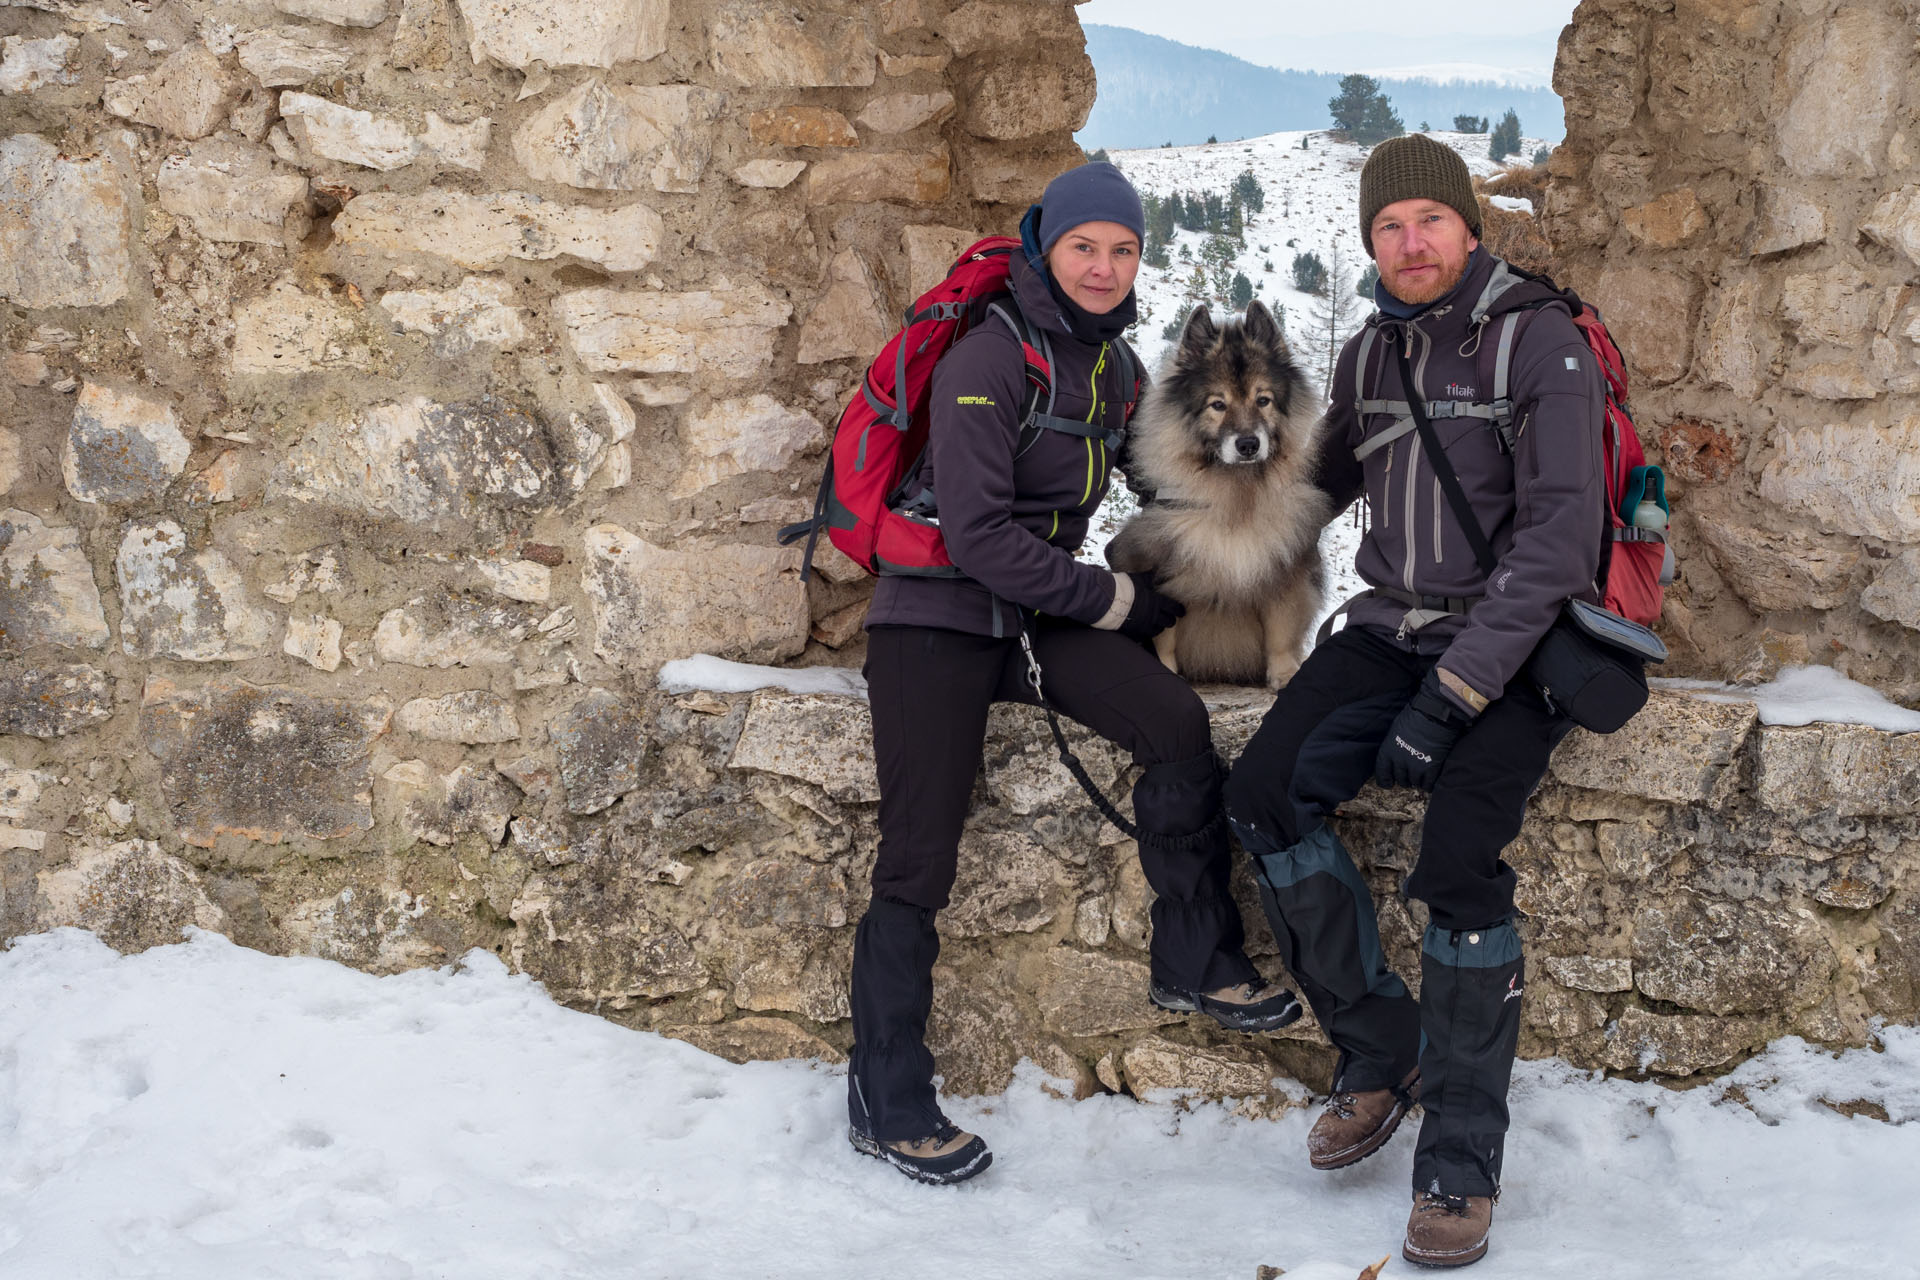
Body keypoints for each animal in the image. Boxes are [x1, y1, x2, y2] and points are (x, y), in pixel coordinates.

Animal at [1105, 301, 1328, 690]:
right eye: (1218, 405)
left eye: (1263, 400)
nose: (1248, 444)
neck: (1234, 495)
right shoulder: (1161, 575)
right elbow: (1164, 634)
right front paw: (1167, 670)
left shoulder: (1286, 570)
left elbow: (1281, 630)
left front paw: (1285, 674)